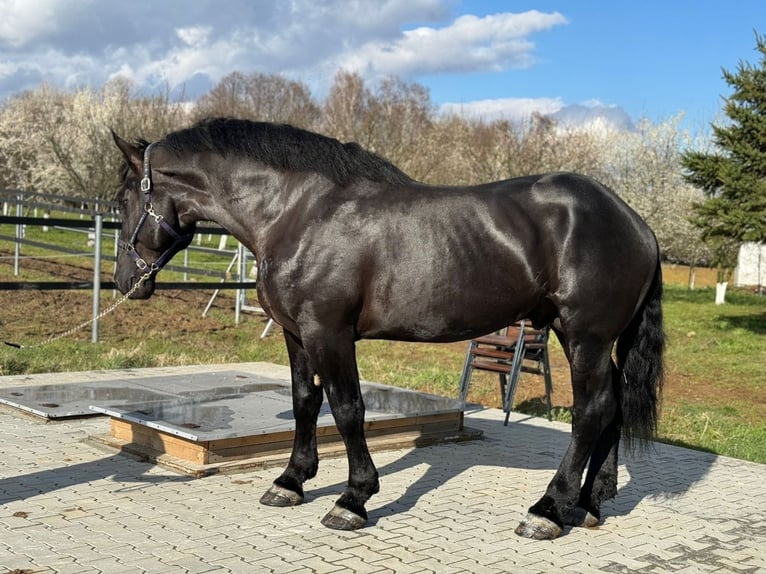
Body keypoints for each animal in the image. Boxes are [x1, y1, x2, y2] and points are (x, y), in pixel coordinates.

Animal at [111, 119, 664, 544]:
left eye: (121, 200)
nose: (123, 282)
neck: (298, 212)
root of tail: (635, 222)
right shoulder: (296, 334)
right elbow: (304, 402)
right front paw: (291, 481)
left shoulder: (329, 333)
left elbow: (347, 409)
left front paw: (353, 499)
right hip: (583, 338)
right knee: (611, 406)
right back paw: (589, 503)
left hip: (585, 337)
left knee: (590, 411)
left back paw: (548, 509)